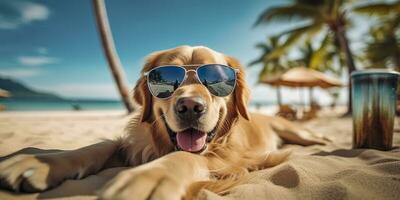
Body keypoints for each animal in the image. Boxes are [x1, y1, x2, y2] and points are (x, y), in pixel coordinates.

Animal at [0, 45, 324, 200]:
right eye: (166, 78)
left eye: (217, 78)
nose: (190, 107)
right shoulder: (135, 144)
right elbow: (100, 145)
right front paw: (39, 161)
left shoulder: (232, 158)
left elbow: (187, 157)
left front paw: (151, 177)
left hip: (297, 133)